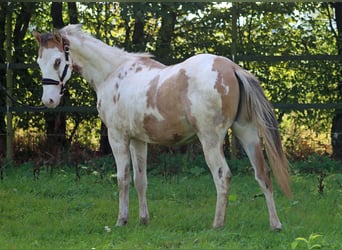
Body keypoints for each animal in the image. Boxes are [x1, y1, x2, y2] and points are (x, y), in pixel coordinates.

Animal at [32, 24, 292, 230]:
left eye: (57, 61)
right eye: (39, 61)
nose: (49, 101)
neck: (113, 73)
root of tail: (233, 68)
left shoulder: (118, 138)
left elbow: (122, 178)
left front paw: (121, 220)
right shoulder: (138, 141)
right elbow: (140, 180)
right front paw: (143, 220)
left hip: (210, 140)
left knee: (223, 176)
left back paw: (217, 224)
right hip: (247, 134)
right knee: (263, 175)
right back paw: (275, 224)